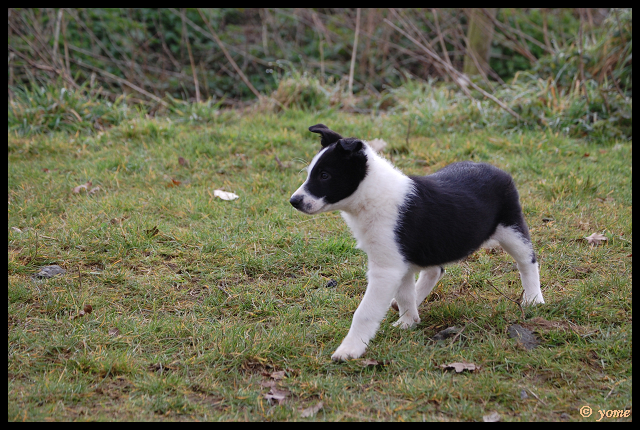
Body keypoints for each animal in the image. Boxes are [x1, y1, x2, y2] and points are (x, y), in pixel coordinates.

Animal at [292, 125, 544, 362]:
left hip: (512, 230)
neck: (370, 195)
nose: (294, 201)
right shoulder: (398, 262)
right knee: (435, 270)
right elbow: (405, 295)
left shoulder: (385, 269)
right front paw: (408, 322)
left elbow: (365, 312)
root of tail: (497, 169)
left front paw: (349, 350)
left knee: (527, 262)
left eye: (325, 175)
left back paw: (533, 300)